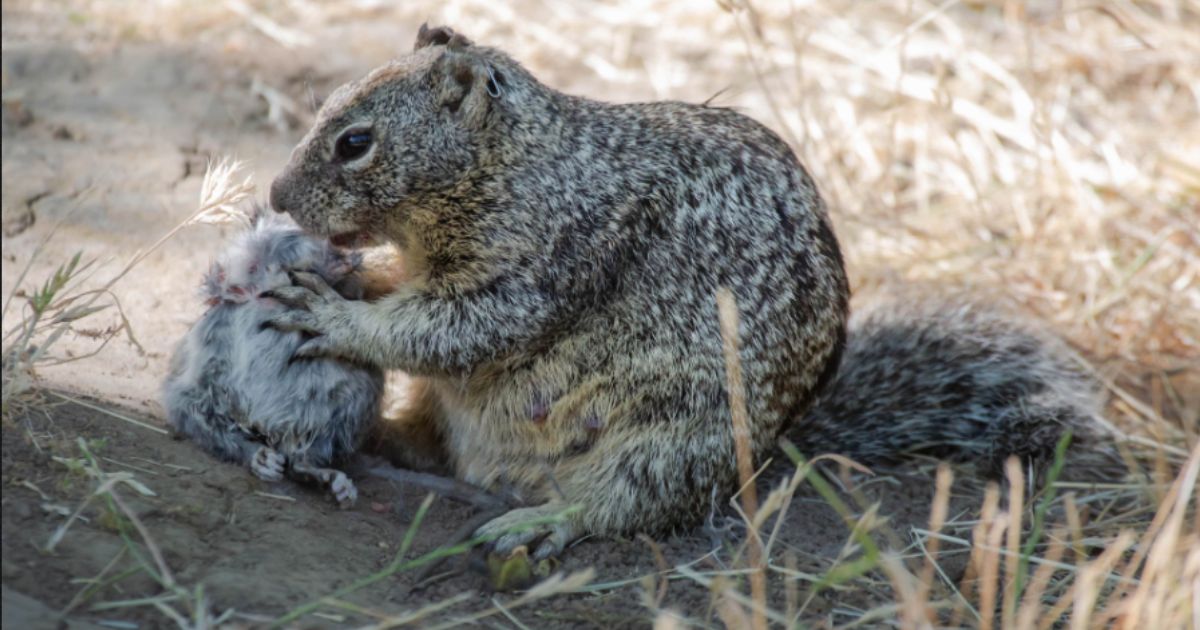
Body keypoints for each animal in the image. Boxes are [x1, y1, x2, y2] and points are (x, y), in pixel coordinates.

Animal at [265, 25, 1104, 554]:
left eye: (354, 142)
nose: (275, 196)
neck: (521, 165)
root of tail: (767, 456)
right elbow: (408, 297)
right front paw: (347, 276)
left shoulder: (541, 266)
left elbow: (450, 330)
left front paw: (333, 314)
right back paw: (381, 440)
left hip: (665, 442)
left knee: (625, 507)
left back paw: (541, 523)